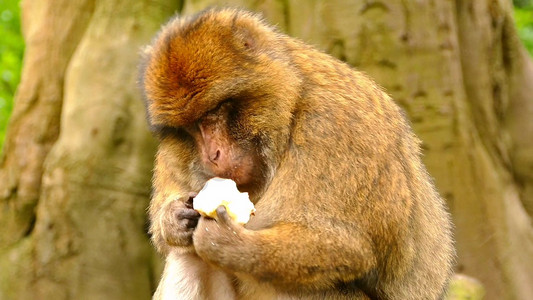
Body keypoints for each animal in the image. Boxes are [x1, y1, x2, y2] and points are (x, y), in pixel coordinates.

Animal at [140, 7, 454, 300]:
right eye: (191, 127)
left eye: (215, 110)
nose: (212, 155)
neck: (291, 109)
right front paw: (174, 219)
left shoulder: (335, 126)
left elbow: (348, 247)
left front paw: (228, 243)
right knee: (186, 256)